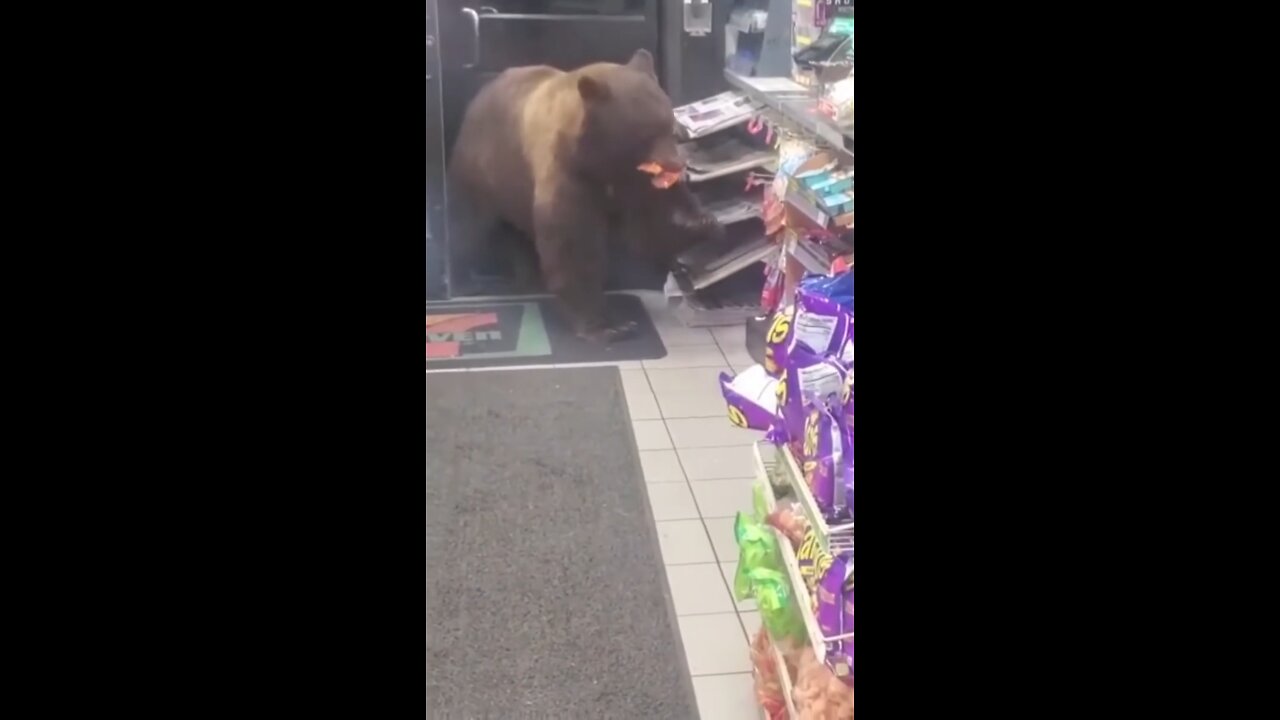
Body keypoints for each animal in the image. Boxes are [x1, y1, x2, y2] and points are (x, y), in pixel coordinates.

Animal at [448, 49, 721, 343]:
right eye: (646, 134)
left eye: (670, 127)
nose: (674, 164)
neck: (599, 159)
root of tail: (480, 94)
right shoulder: (569, 175)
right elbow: (574, 246)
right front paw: (609, 326)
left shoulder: (632, 181)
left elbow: (651, 225)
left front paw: (699, 222)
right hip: (483, 169)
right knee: (468, 223)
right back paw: (467, 282)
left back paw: (527, 276)